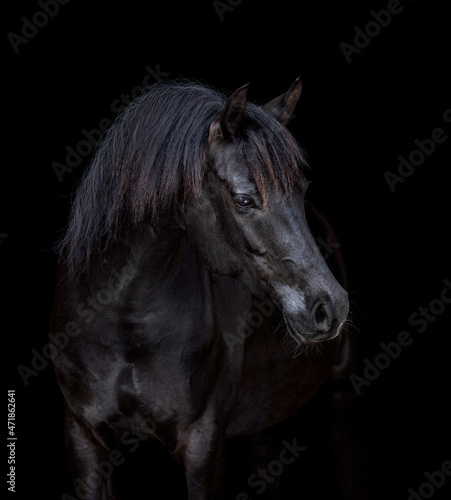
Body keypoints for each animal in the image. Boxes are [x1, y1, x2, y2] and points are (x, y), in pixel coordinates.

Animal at [51, 79, 366, 500]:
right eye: (244, 199)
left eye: (301, 190)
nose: (329, 307)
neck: (124, 323)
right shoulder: (84, 437)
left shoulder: (203, 444)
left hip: (342, 398)